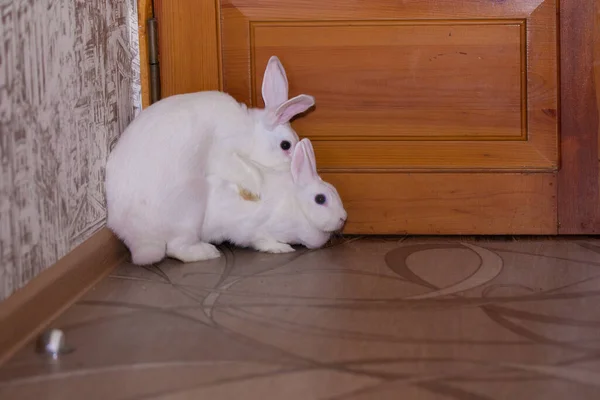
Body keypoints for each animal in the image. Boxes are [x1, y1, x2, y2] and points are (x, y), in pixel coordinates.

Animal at [106, 54, 316, 266]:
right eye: (285, 145)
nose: (291, 171)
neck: (251, 132)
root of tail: (140, 239)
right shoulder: (224, 153)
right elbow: (248, 170)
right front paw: (255, 190)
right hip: (191, 208)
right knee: (176, 248)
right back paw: (208, 252)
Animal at [200, 139, 346, 252]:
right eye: (320, 199)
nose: (343, 218)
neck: (298, 206)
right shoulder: (256, 231)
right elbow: (262, 241)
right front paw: (282, 248)